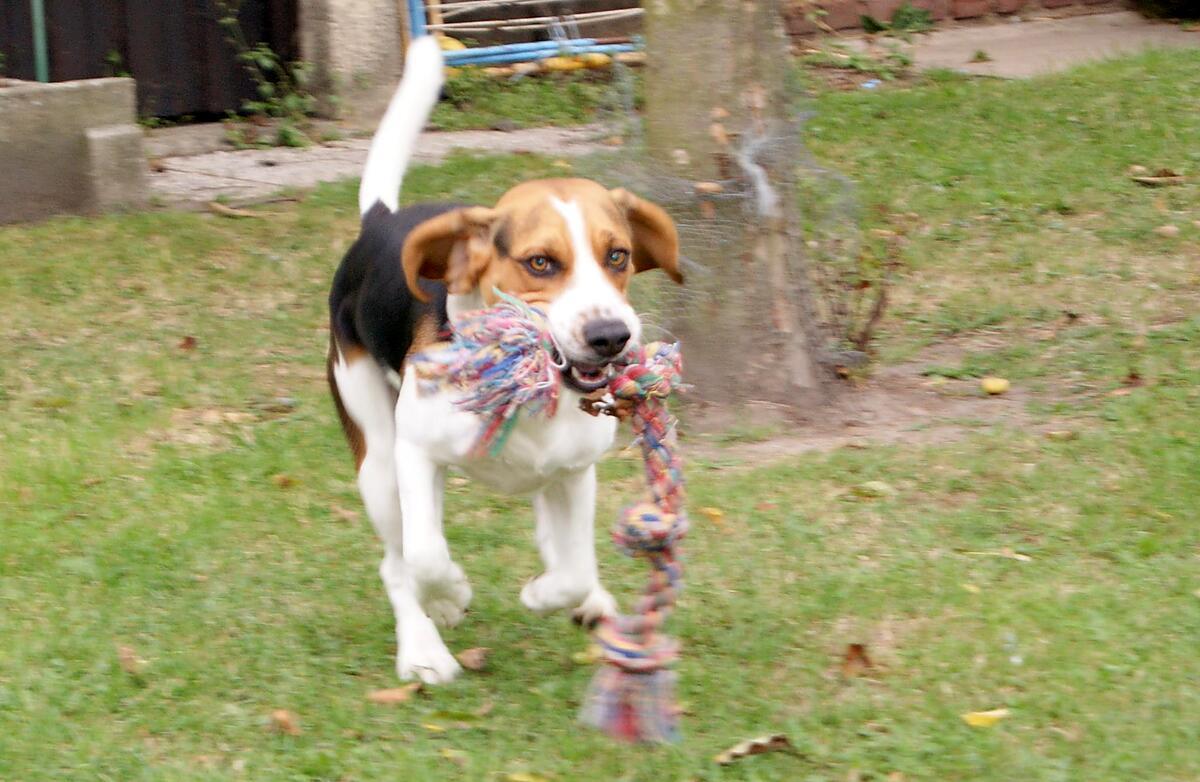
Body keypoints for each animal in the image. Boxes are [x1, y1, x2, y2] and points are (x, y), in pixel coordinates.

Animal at [328, 38, 681, 686]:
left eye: (618, 255)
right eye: (540, 263)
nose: (610, 336)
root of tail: (381, 221)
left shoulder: (575, 472)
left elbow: (573, 570)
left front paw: (552, 595)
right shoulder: (416, 453)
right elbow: (425, 557)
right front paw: (449, 597)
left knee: (559, 546)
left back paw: (590, 601)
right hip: (377, 457)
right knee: (397, 562)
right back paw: (423, 648)